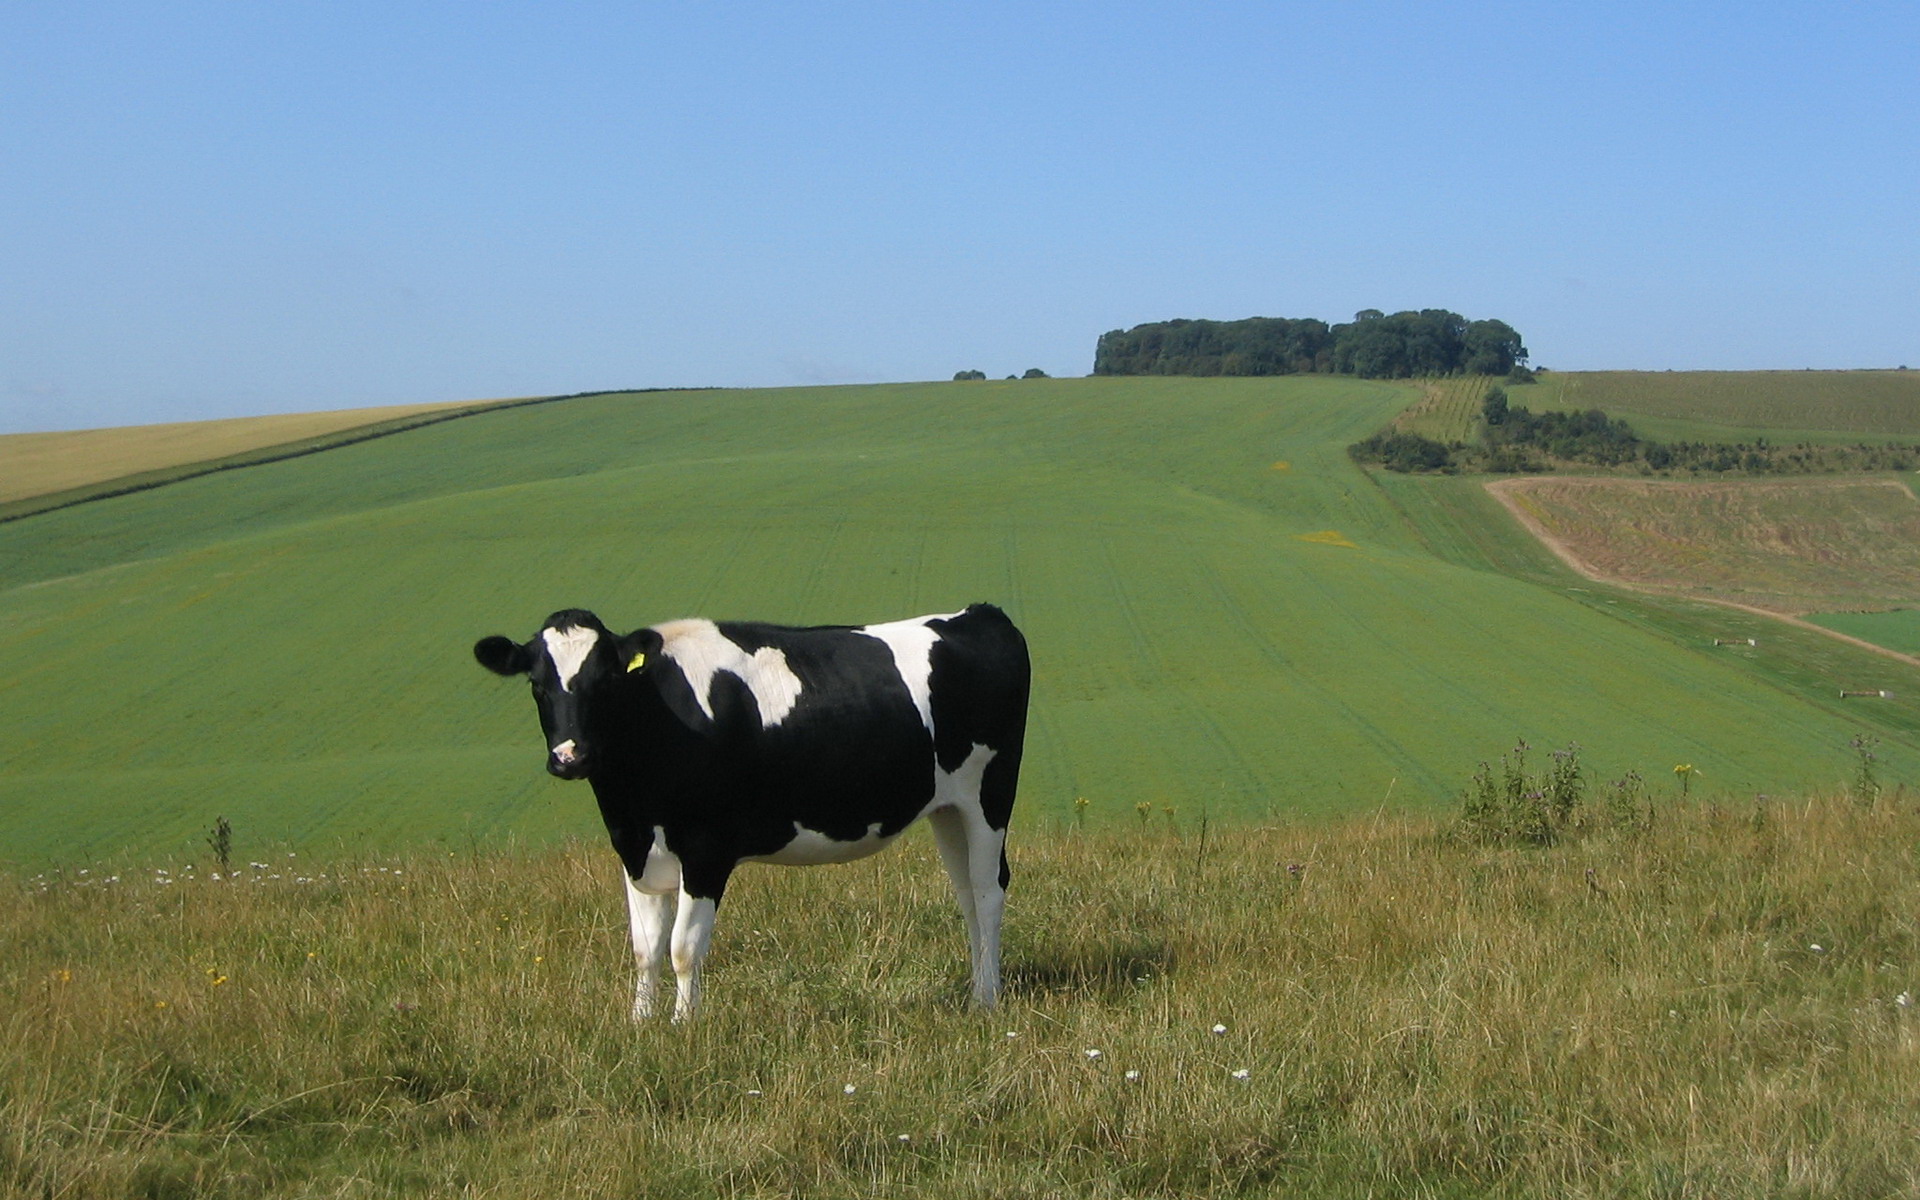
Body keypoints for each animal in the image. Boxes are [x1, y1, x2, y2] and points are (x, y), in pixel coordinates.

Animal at [470, 602, 1029, 1013]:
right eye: (536, 684)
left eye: (604, 681)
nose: (571, 756)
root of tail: (978, 612)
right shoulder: (635, 851)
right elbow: (645, 950)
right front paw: (641, 1024)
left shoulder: (706, 850)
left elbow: (682, 948)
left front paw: (684, 1027)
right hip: (947, 809)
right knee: (965, 894)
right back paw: (976, 989)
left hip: (990, 794)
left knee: (987, 891)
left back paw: (987, 1001)